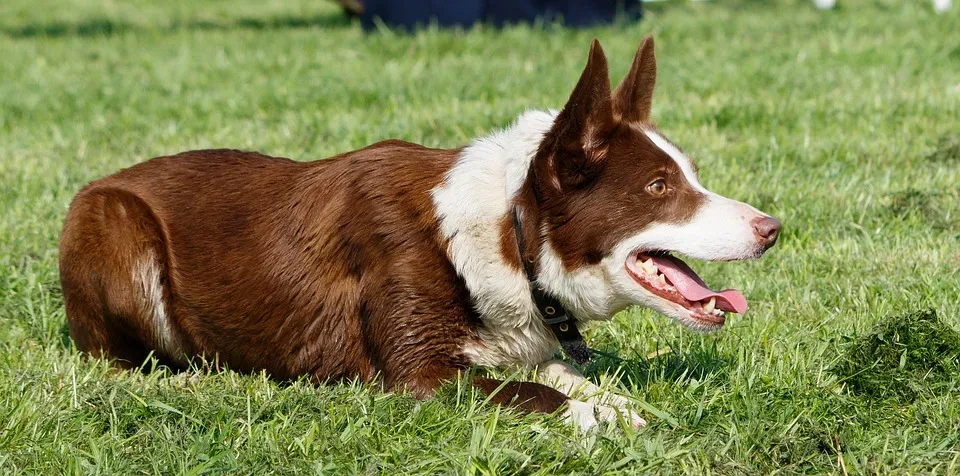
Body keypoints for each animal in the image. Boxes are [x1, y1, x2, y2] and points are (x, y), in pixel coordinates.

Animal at [58, 36, 780, 432]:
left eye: (690, 174)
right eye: (660, 187)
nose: (773, 229)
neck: (509, 232)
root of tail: (101, 180)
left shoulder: (521, 344)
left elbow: (565, 375)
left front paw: (616, 403)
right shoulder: (420, 375)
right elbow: (536, 393)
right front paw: (602, 418)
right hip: (117, 232)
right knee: (116, 361)